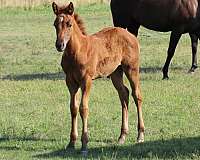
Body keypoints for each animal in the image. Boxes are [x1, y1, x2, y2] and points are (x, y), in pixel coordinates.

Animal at [52, 0, 145, 154]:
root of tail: (131, 35)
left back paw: (140, 135)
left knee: (136, 95)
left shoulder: (86, 81)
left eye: (69, 24)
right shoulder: (70, 81)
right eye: (55, 24)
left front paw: (84, 144)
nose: (60, 45)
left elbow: (83, 108)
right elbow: (73, 108)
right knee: (124, 94)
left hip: (131, 69)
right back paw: (122, 136)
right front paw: (71, 142)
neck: (77, 51)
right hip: (115, 73)